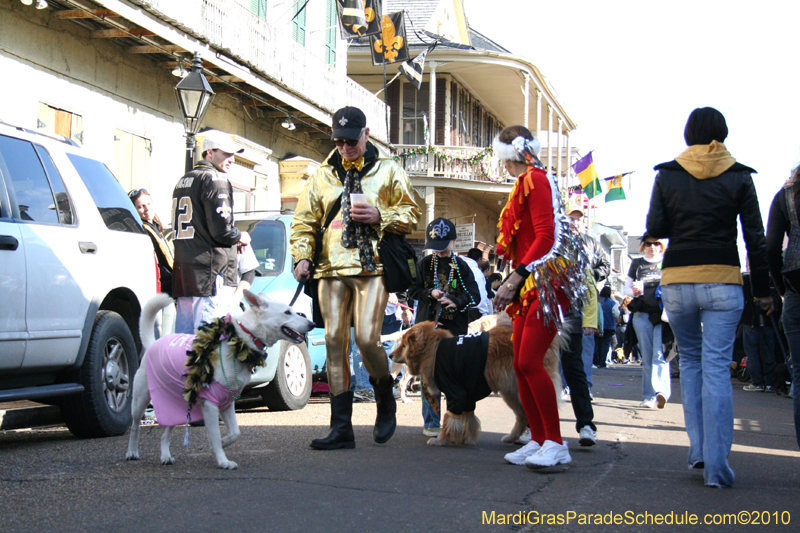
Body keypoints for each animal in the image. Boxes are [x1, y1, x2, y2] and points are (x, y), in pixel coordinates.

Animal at [126, 288, 314, 468]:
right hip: (140, 400)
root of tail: (152, 344)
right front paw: (223, 461)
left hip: (176, 404)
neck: (242, 340)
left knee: (165, 433)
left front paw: (224, 443)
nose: (312, 324)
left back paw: (165, 456)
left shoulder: (227, 401)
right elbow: (215, 436)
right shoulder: (210, 404)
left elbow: (235, 433)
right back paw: (132, 452)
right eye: (287, 312)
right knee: (135, 427)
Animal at [388, 314, 564, 446]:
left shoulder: (456, 393)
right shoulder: (467, 396)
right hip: (511, 392)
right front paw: (463, 437)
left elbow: (449, 418)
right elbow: (466, 418)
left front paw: (442, 439)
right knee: (522, 416)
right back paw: (513, 437)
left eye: (404, 346)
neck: (433, 347)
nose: (389, 355)